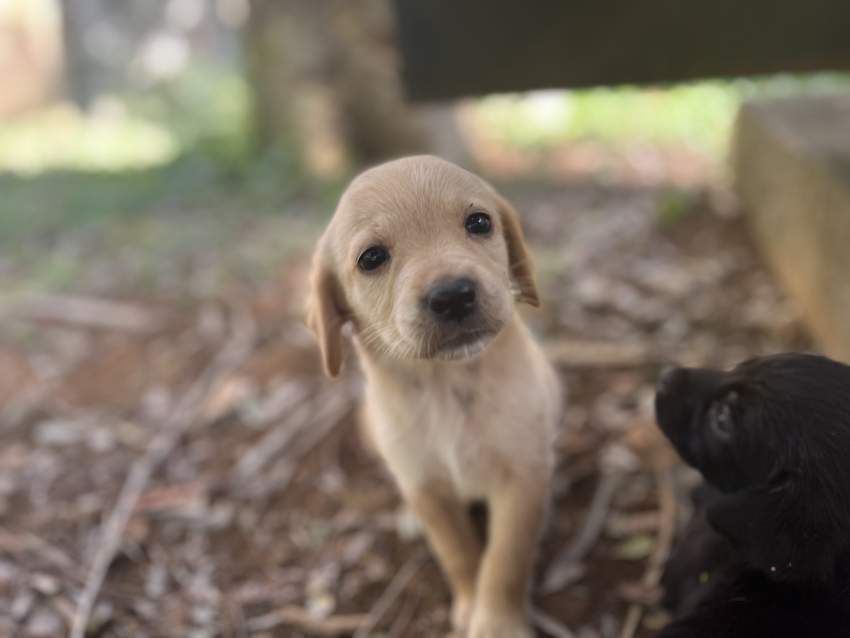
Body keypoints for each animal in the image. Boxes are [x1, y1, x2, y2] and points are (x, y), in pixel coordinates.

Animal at [306, 156, 564, 638]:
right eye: (372, 258)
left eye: (479, 223)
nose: (453, 295)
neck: (446, 386)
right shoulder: (424, 485)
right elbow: (457, 551)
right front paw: (469, 605)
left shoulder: (521, 477)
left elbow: (505, 560)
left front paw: (496, 623)